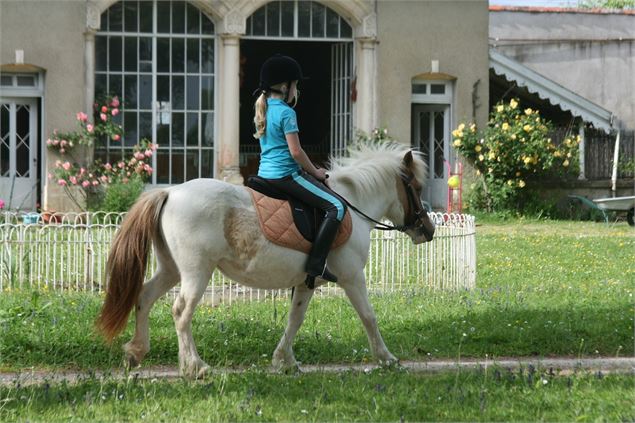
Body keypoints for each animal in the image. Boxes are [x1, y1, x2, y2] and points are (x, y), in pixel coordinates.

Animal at [97, 142, 434, 378]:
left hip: (170, 269)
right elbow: (368, 316)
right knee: (181, 312)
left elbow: (295, 319)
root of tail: (170, 191)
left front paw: (285, 361)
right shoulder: (353, 277)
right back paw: (195, 366)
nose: (428, 230)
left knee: (144, 297)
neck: (352, 205)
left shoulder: (307, 282)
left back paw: (136, 352)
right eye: (416, 188)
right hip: (196, 272)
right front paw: (387, 359)